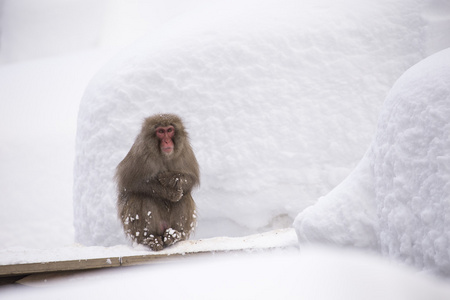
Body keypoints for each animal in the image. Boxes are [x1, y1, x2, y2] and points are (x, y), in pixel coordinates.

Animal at [116, 113, 199, 250]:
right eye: (160, 131)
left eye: (169, 130)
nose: (166, 141)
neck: (163, 156)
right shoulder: (141, 153)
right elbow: (130, 183)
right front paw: (171, 193)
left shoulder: (184, 150)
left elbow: (192, 179)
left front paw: (171, 178)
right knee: (142, 196)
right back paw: (150, 239)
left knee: (185, 196)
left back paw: (175, 235)